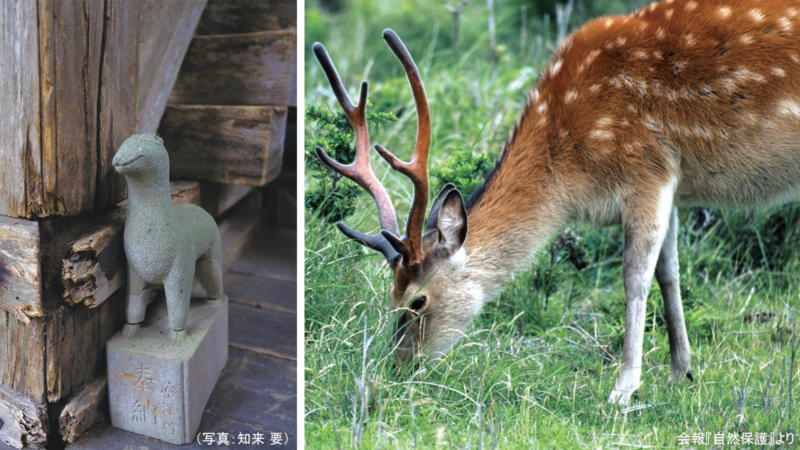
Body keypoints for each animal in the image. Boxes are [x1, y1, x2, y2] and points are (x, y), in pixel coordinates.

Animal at [313, 0, 800, 405]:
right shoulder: (674, 185)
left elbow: (635, 277)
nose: (397, 369)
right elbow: (670, 273)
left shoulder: (648, 168)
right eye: (389, 299)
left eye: (417, 301)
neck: (569, 166)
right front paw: (682, 372)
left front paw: (623, 390)